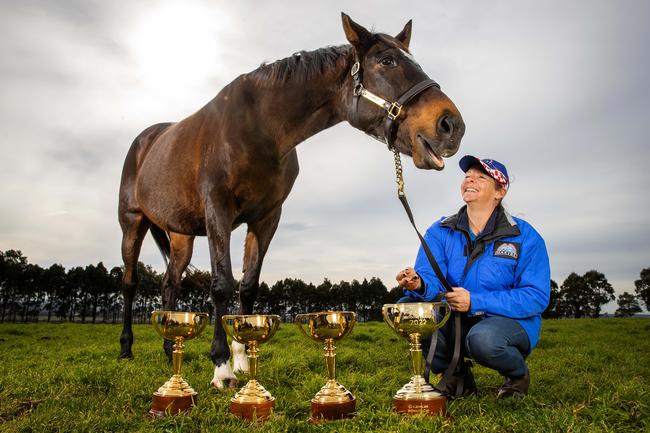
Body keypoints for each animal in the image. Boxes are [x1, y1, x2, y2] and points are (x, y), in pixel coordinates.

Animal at [116, 13, 460, 386]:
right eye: (387, 61)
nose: (451, 124)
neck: (260, 127)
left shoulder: (267, 217)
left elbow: (248, 286)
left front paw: (242, 360)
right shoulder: (218, 209)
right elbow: (221, 284)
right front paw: (222, 367)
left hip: (181, 234)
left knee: (170, 283)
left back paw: (169, 350)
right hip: (132, 223)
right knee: (130, 283)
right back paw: (126, 349)